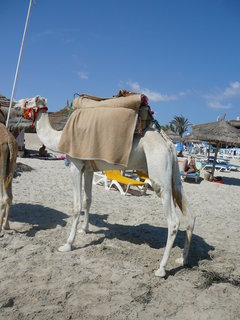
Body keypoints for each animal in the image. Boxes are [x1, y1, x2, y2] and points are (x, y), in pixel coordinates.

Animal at [13, 95, 195, 278]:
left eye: (28, 101)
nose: (14, 105)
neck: (60, 138)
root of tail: (168, 143)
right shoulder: (88, 169)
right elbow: (87, 200)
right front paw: (84, 230)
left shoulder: (75, 165)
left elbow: (76, 206)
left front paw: (68, 244)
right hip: (174, 174)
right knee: (190, 214)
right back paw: (183, 259)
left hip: (159, 172)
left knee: (173, 221)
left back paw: (161, 269)